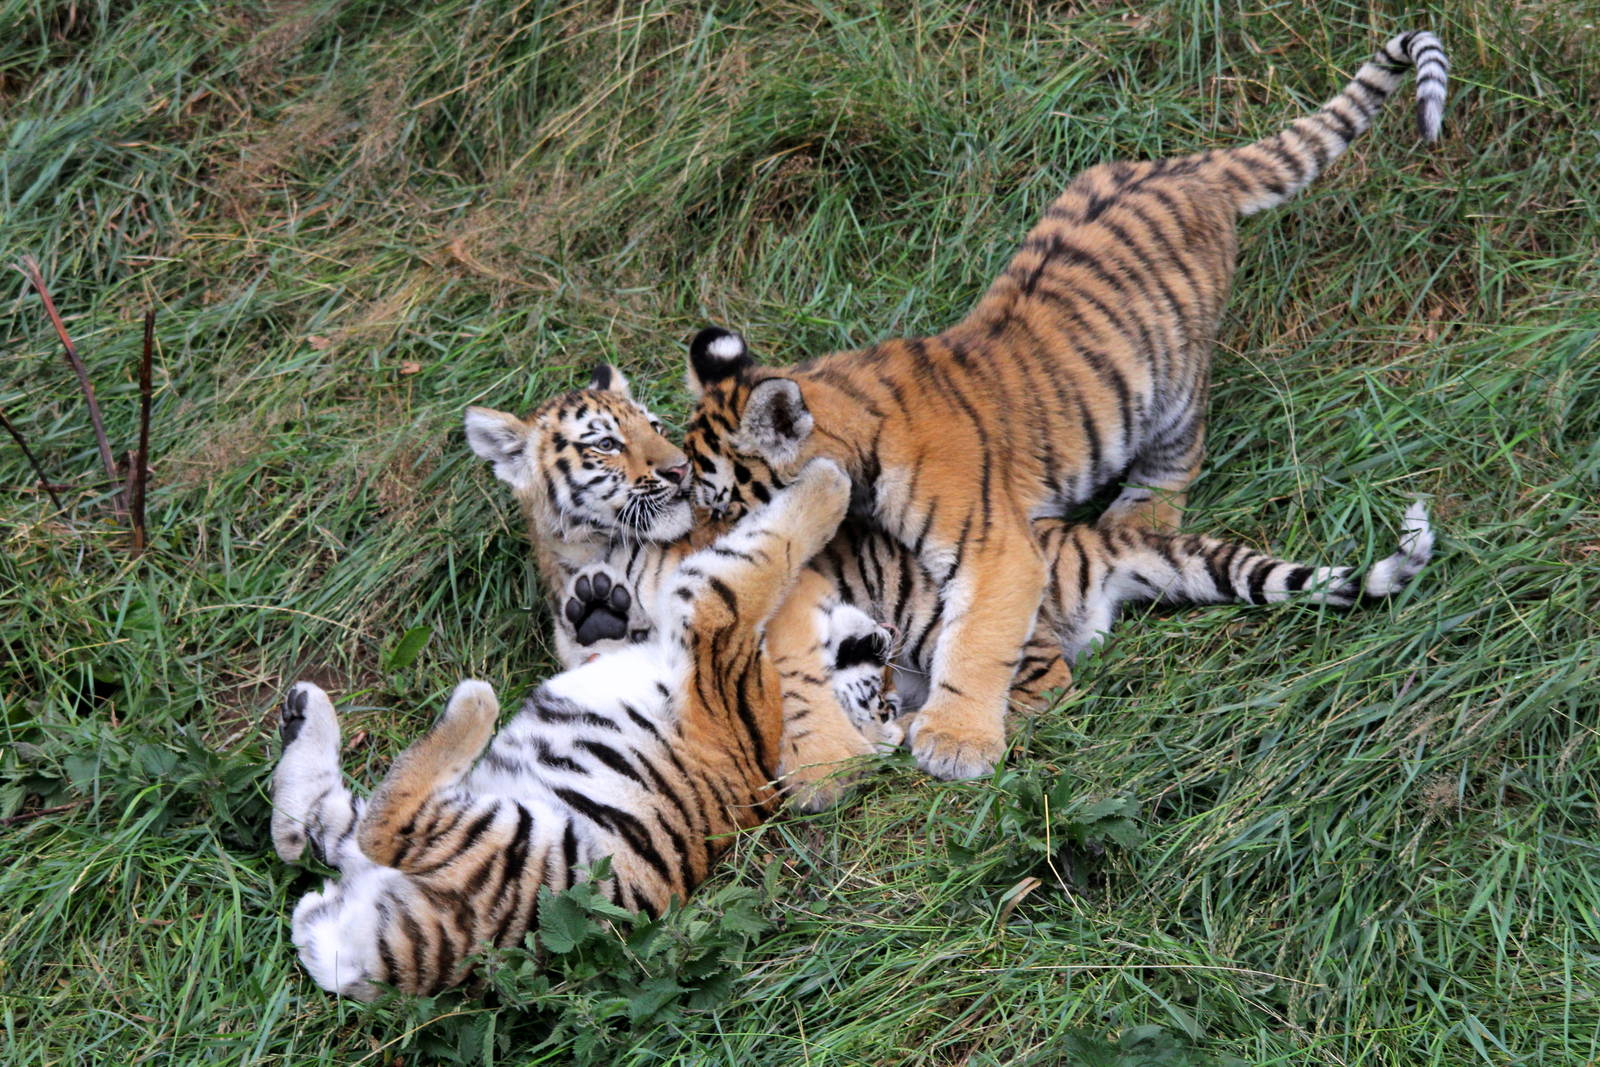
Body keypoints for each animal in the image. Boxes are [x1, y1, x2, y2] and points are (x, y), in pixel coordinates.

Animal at [269, 457, 856, 999]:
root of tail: (390, 968)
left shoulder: (715, 612)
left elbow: (771, 549)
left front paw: (831, 483)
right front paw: (598, 602)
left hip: (510, 849)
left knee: (381, 824)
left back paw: (473, 704)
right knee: (310, 831)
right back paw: (304, 713)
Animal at [679, 31, 1449, 779]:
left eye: (720, 502)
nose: (694, 556)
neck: (849, 415)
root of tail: (1188, 167)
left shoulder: (994, 546)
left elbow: (978, 639)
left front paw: (956, 741)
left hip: (1173, 383)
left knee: (1178, 455)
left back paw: (1138, 515)